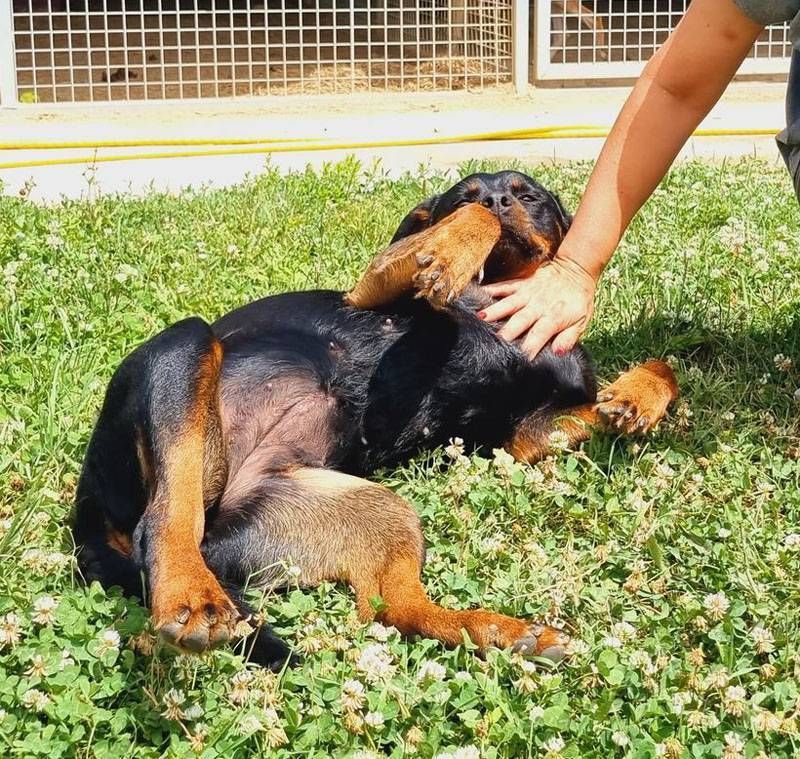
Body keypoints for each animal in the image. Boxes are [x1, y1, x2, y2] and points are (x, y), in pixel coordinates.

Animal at [73, 170, 678, 669]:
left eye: (528, 196)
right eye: (466, 196)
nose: (499, 200)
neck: (502, 294)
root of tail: (86, 508)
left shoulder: (524, 435)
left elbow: (663, 367)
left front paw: (638, 398)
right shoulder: (374, 282)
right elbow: (454, 240)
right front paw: (453, 250)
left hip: (363, 510)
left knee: (393, 610)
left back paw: (497, 633)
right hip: (188, 346)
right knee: (164, 519)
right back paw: (191, 595)